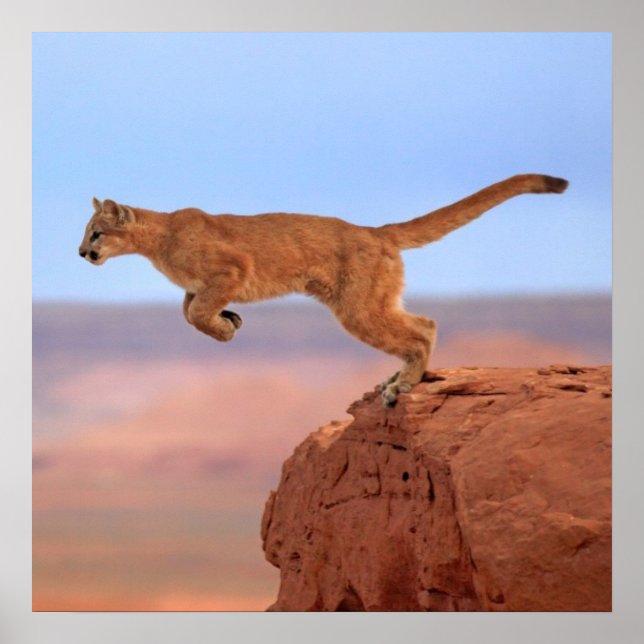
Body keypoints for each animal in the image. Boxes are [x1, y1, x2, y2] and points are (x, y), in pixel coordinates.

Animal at [79, 174, 568, 406]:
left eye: (97, 233)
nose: (82, 252)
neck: (158, 239)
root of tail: (375, 230)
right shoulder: (199, 286)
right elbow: (188, 310)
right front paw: (230, 318)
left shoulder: (233, 268)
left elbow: (197, 313)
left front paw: (225, 328)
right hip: (373, 300)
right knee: (424, 320)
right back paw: (398, 377)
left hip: (358, 308)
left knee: (420, 331)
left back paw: (403, 385)